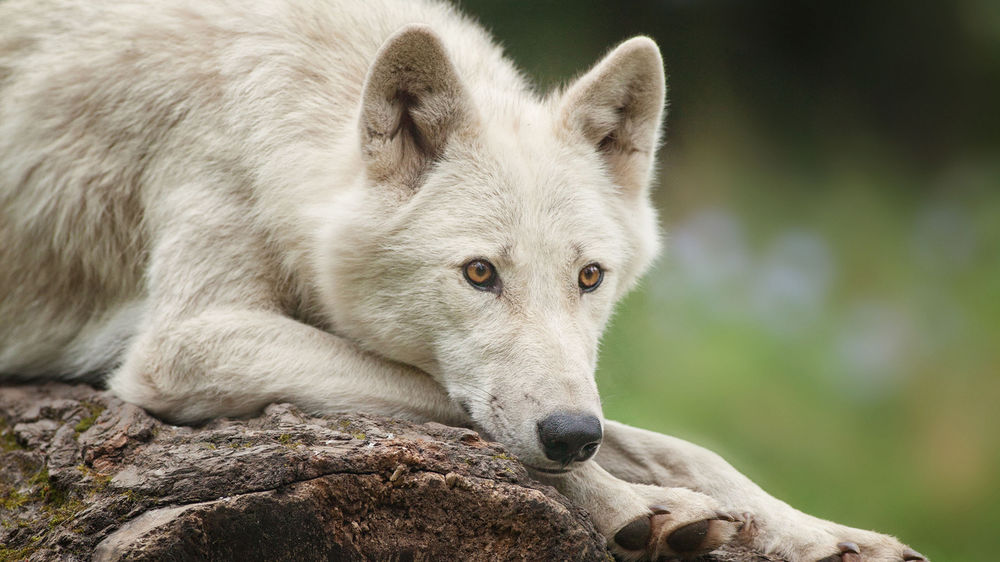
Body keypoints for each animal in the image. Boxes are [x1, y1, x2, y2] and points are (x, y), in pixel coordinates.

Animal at [0, 0, 924, 556]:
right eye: (480, 273)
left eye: (590, 276)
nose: (571, 435)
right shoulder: (184, 342)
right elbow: (451, 404)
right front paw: (634, 506)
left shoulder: (580, 393)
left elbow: (678, 445)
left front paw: (824, 534)